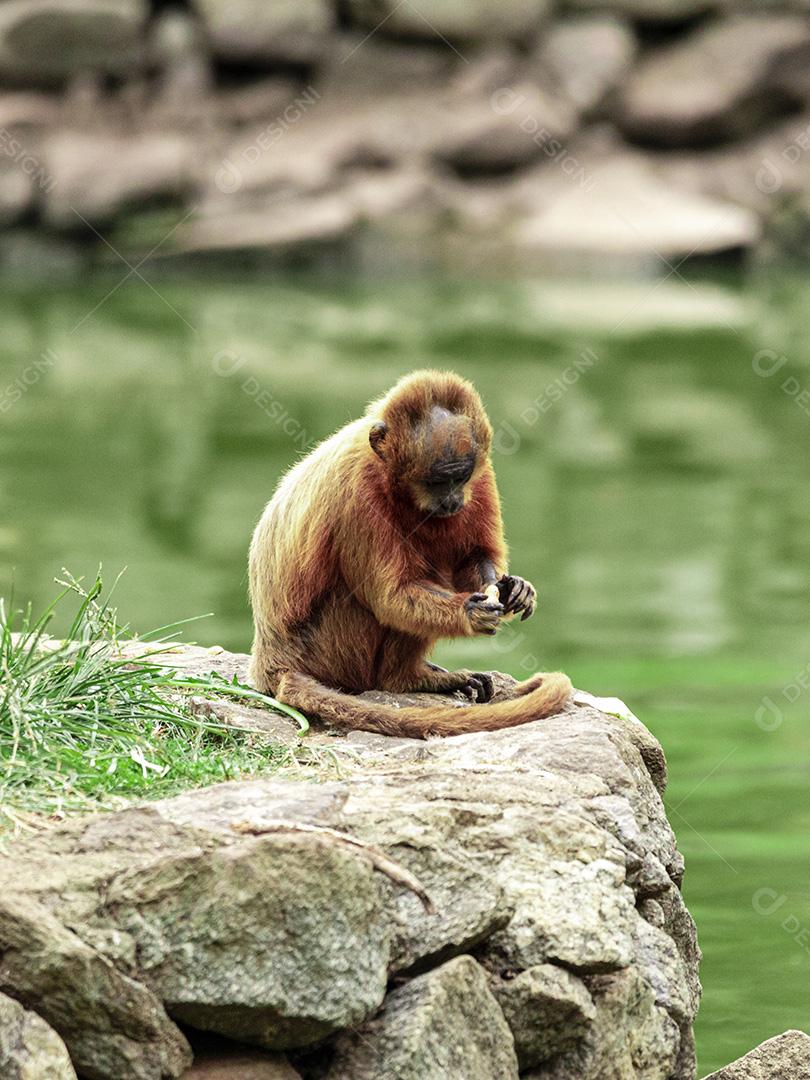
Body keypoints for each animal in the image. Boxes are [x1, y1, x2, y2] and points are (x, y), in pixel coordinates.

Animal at [250, 367, 574, 738]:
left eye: (460, 478)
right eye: (436, 482)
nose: (452, 500)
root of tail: (272, 660)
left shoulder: (481, 474)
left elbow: (473, 558)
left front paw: (511, 589)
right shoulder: (358, 492)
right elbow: (390, 599)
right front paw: (470, 612)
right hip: (332, 652)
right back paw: (406, 680)